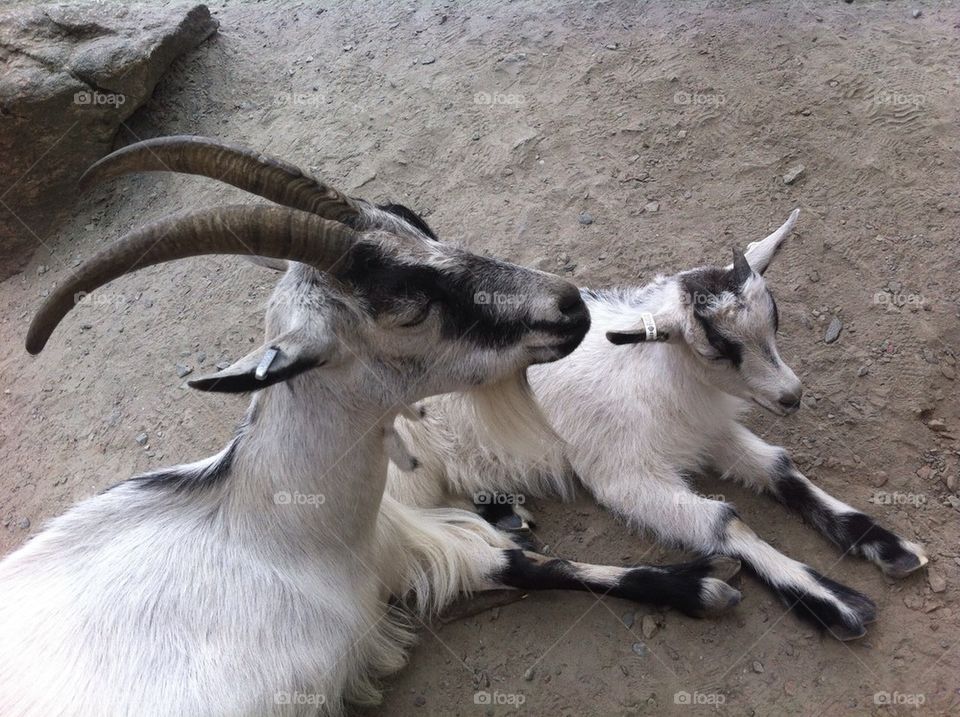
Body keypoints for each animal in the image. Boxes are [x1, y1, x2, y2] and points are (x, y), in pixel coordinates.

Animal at [0, 137, 744, 717]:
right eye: (408, 305)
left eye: (413, 221)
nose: (568, 306)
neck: (277, 537)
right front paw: (704, 581)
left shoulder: (394, 541)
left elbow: (529, 561)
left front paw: (692, 581)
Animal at [387, 209, 929, 641]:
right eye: (715, 349)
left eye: (775, 322)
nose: (790, 396)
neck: (652, 372)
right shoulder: (624, 474)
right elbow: (722, 520)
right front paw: (830, 600)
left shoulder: (707, 429)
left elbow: (779, 467)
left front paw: (887, 543)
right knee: (475, 563)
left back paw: (507, 515)